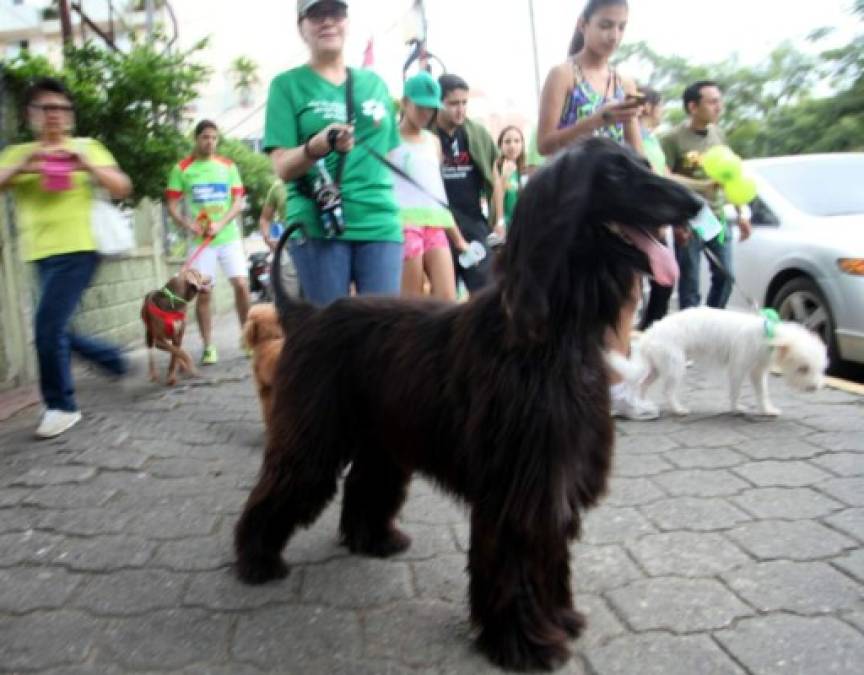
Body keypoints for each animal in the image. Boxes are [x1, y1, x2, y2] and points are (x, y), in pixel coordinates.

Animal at [616, 308, 828, 418]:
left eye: (820, 369)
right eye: (803, 368)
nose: (815, 388)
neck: (768, 335)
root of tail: (650, 332)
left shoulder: (757, 372)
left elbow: (762, 393)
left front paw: (767, 410)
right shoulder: (738, 368)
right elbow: (735, 391)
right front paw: (736, 408)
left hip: (658, 368)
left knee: (643, 385)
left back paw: (643, 404)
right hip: (675, 366)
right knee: (667, 391)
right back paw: (678, 409)